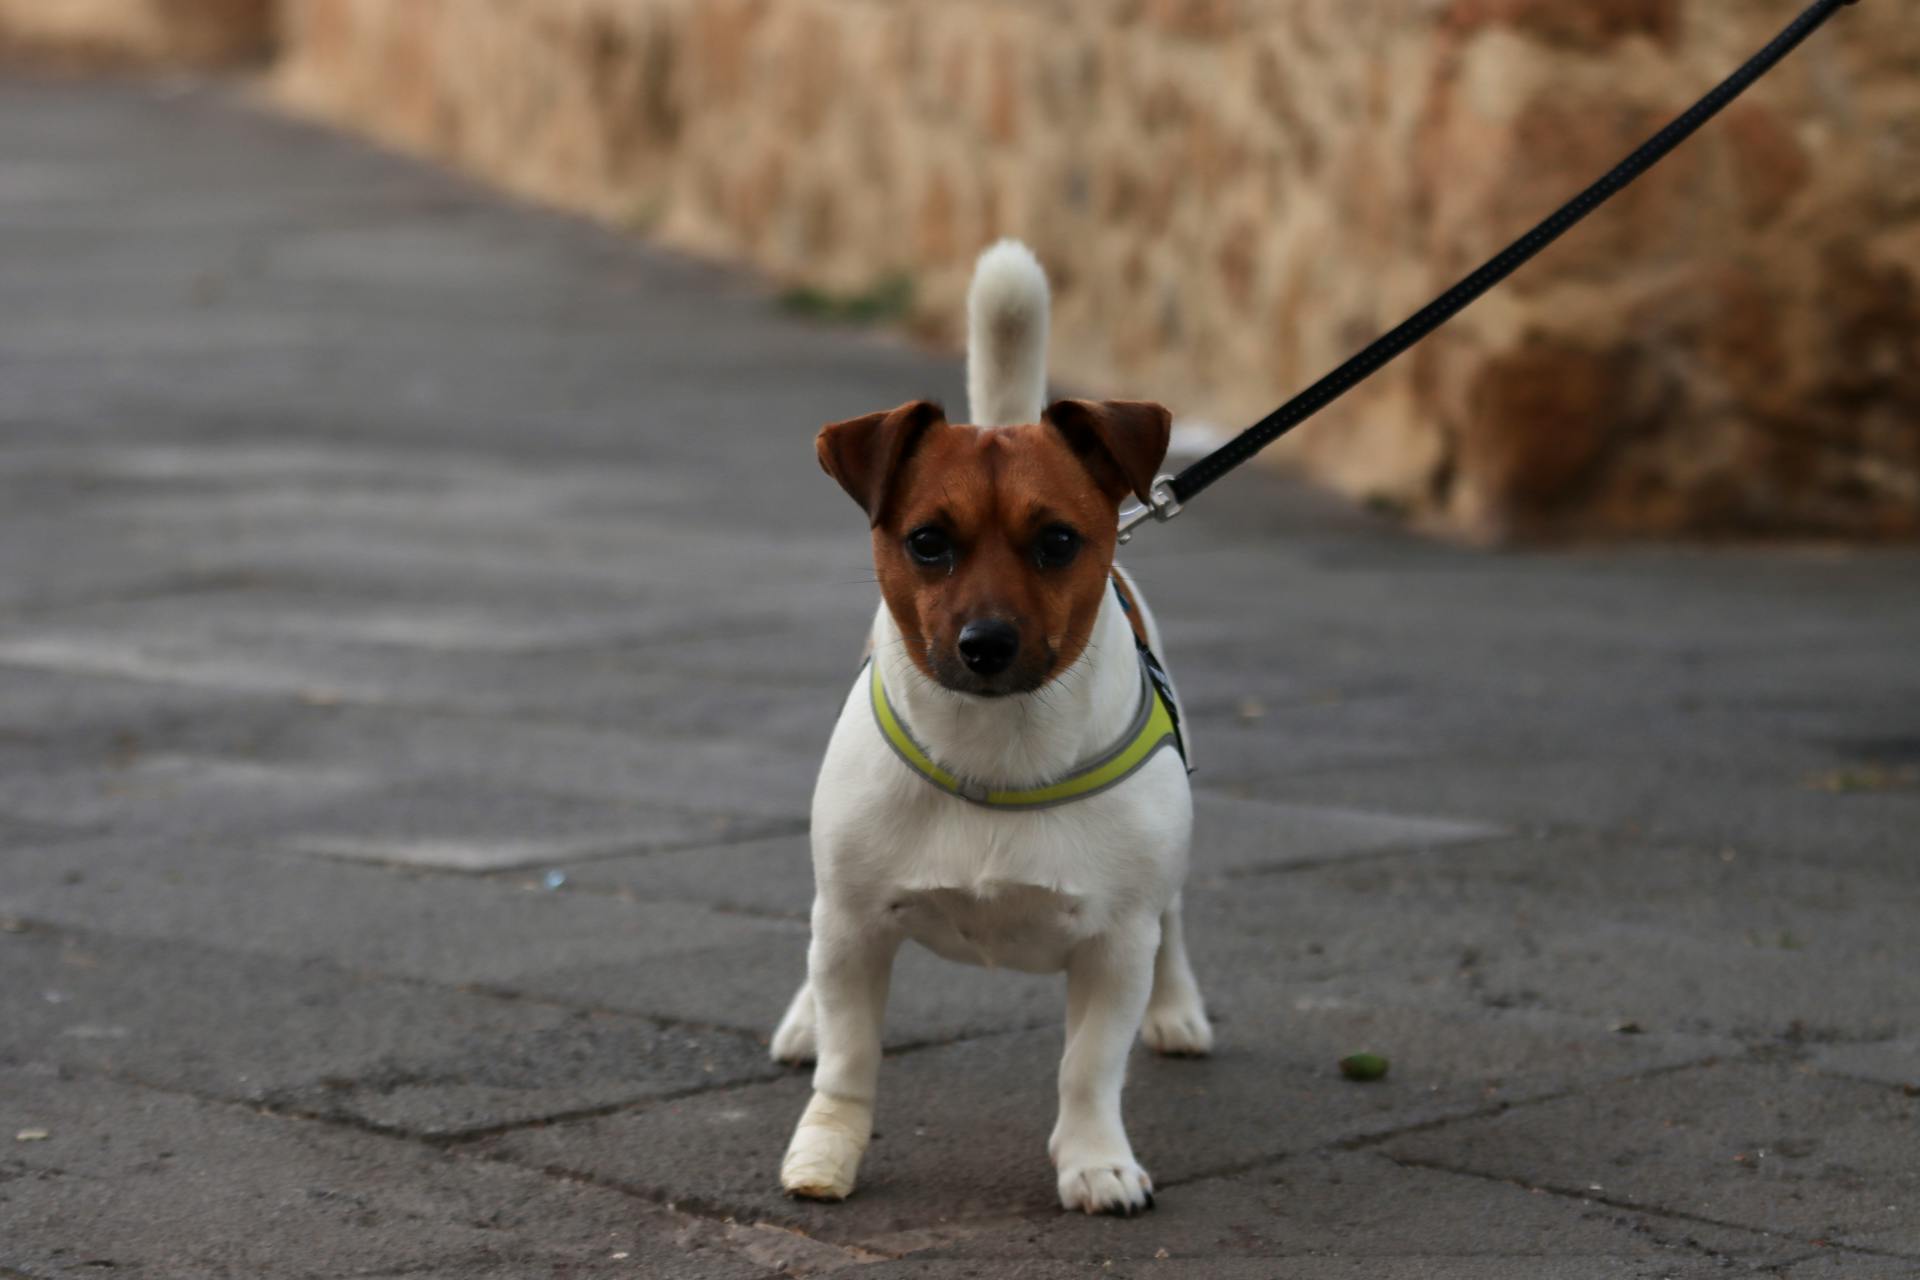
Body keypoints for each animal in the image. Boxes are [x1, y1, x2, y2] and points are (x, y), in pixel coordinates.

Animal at [768, 237, 1205, 1212]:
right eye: (928, 542)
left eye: (1058, 542)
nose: (986, 645)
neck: (998, 748)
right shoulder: (855, 926)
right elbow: (851, 1060)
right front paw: (826, 1152)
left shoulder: (1115, 944)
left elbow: (1090, 1066)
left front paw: (1095, 1162)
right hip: (834, 902)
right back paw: (804, 1019)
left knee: (1175, 923)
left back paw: (1177, 1009)